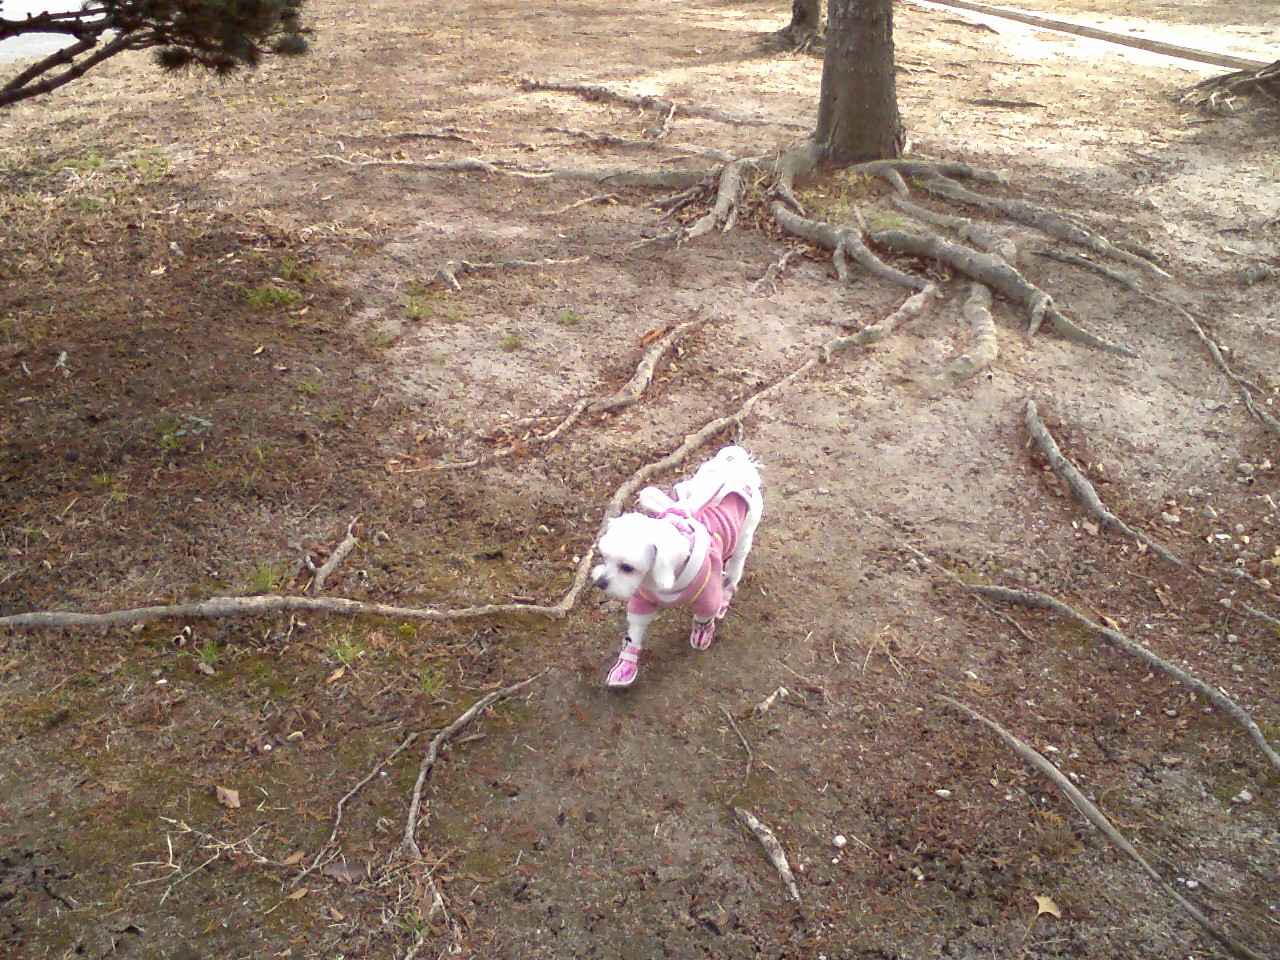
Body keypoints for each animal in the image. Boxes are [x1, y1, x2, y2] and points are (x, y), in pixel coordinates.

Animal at [588, 448, 757, 686]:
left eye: (627, 568)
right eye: (605, 558)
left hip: (745, 536)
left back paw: (726, 596)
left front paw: (702, 633)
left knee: (735, 568)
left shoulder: (707, 596)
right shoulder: (643, 599)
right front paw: (626, 665)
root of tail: (737, 465)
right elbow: (635, 631)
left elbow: (704, 617)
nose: (600, 583)